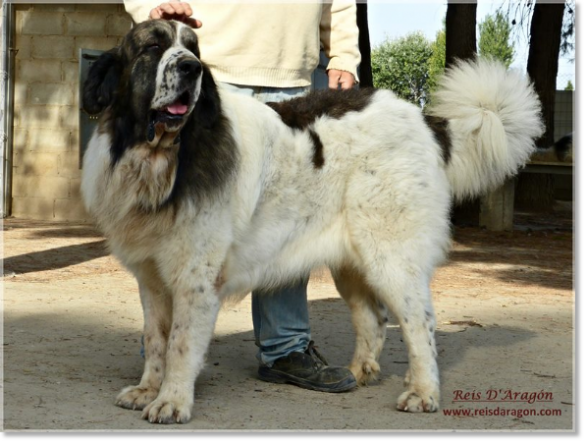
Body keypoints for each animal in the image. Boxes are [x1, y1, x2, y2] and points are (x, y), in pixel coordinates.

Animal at [80, 19, 540, 424]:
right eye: (153, 47)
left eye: (193, 49)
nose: (192, 69)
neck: (159, 155)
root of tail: (427, 120)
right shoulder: (152, 277)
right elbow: (155, 338)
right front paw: (147, 388)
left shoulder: (195, 278)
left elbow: (179, 343)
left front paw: (172, 401)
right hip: (352, 263)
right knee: (374, 319)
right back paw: (356, 373)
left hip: (391, 256)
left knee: (420, 322)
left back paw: (423, 392)